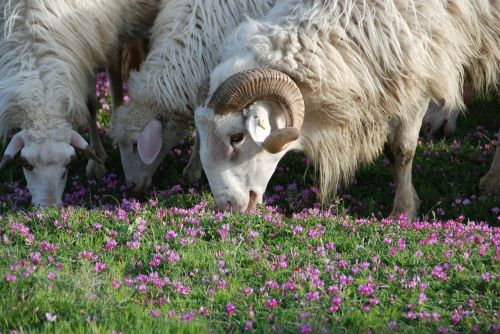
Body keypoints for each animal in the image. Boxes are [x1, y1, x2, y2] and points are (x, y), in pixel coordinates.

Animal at [0, 0, 159, 206]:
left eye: (69, 163)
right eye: (25, 163)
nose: (48, 207)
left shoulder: (93, 40)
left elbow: (91, 103)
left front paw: (96, 159)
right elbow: (90, 104)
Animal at [193, 0, 498, 219]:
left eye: (236, 137)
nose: (226, 207)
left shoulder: (420, 74)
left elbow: (402, 150)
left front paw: (402, 211)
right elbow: (391, 151)